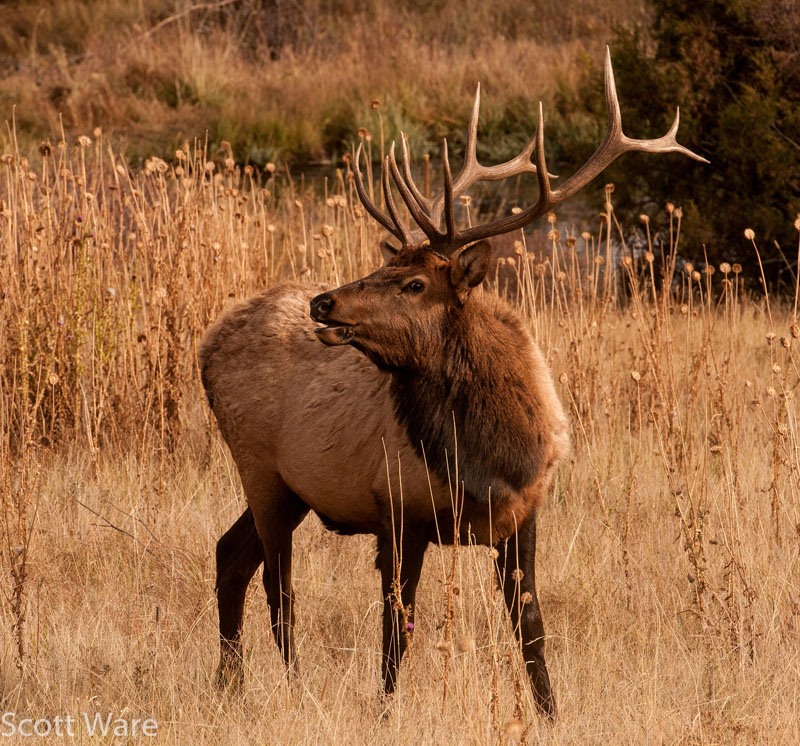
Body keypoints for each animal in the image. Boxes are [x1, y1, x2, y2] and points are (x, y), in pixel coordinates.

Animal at [199, 48, 707, 718]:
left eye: (414, 283)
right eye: (385, 266)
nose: (323, 302)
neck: (490, 462)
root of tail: (206, 346)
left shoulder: (525, 515)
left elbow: (530, 626)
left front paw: (550, 712)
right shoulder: (397, 510)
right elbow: (397, 627)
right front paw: (384, 711)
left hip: (289, 487)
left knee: (232, 556)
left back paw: (229, 684)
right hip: (260, 467)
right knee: (279, 589)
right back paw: (292, 688)